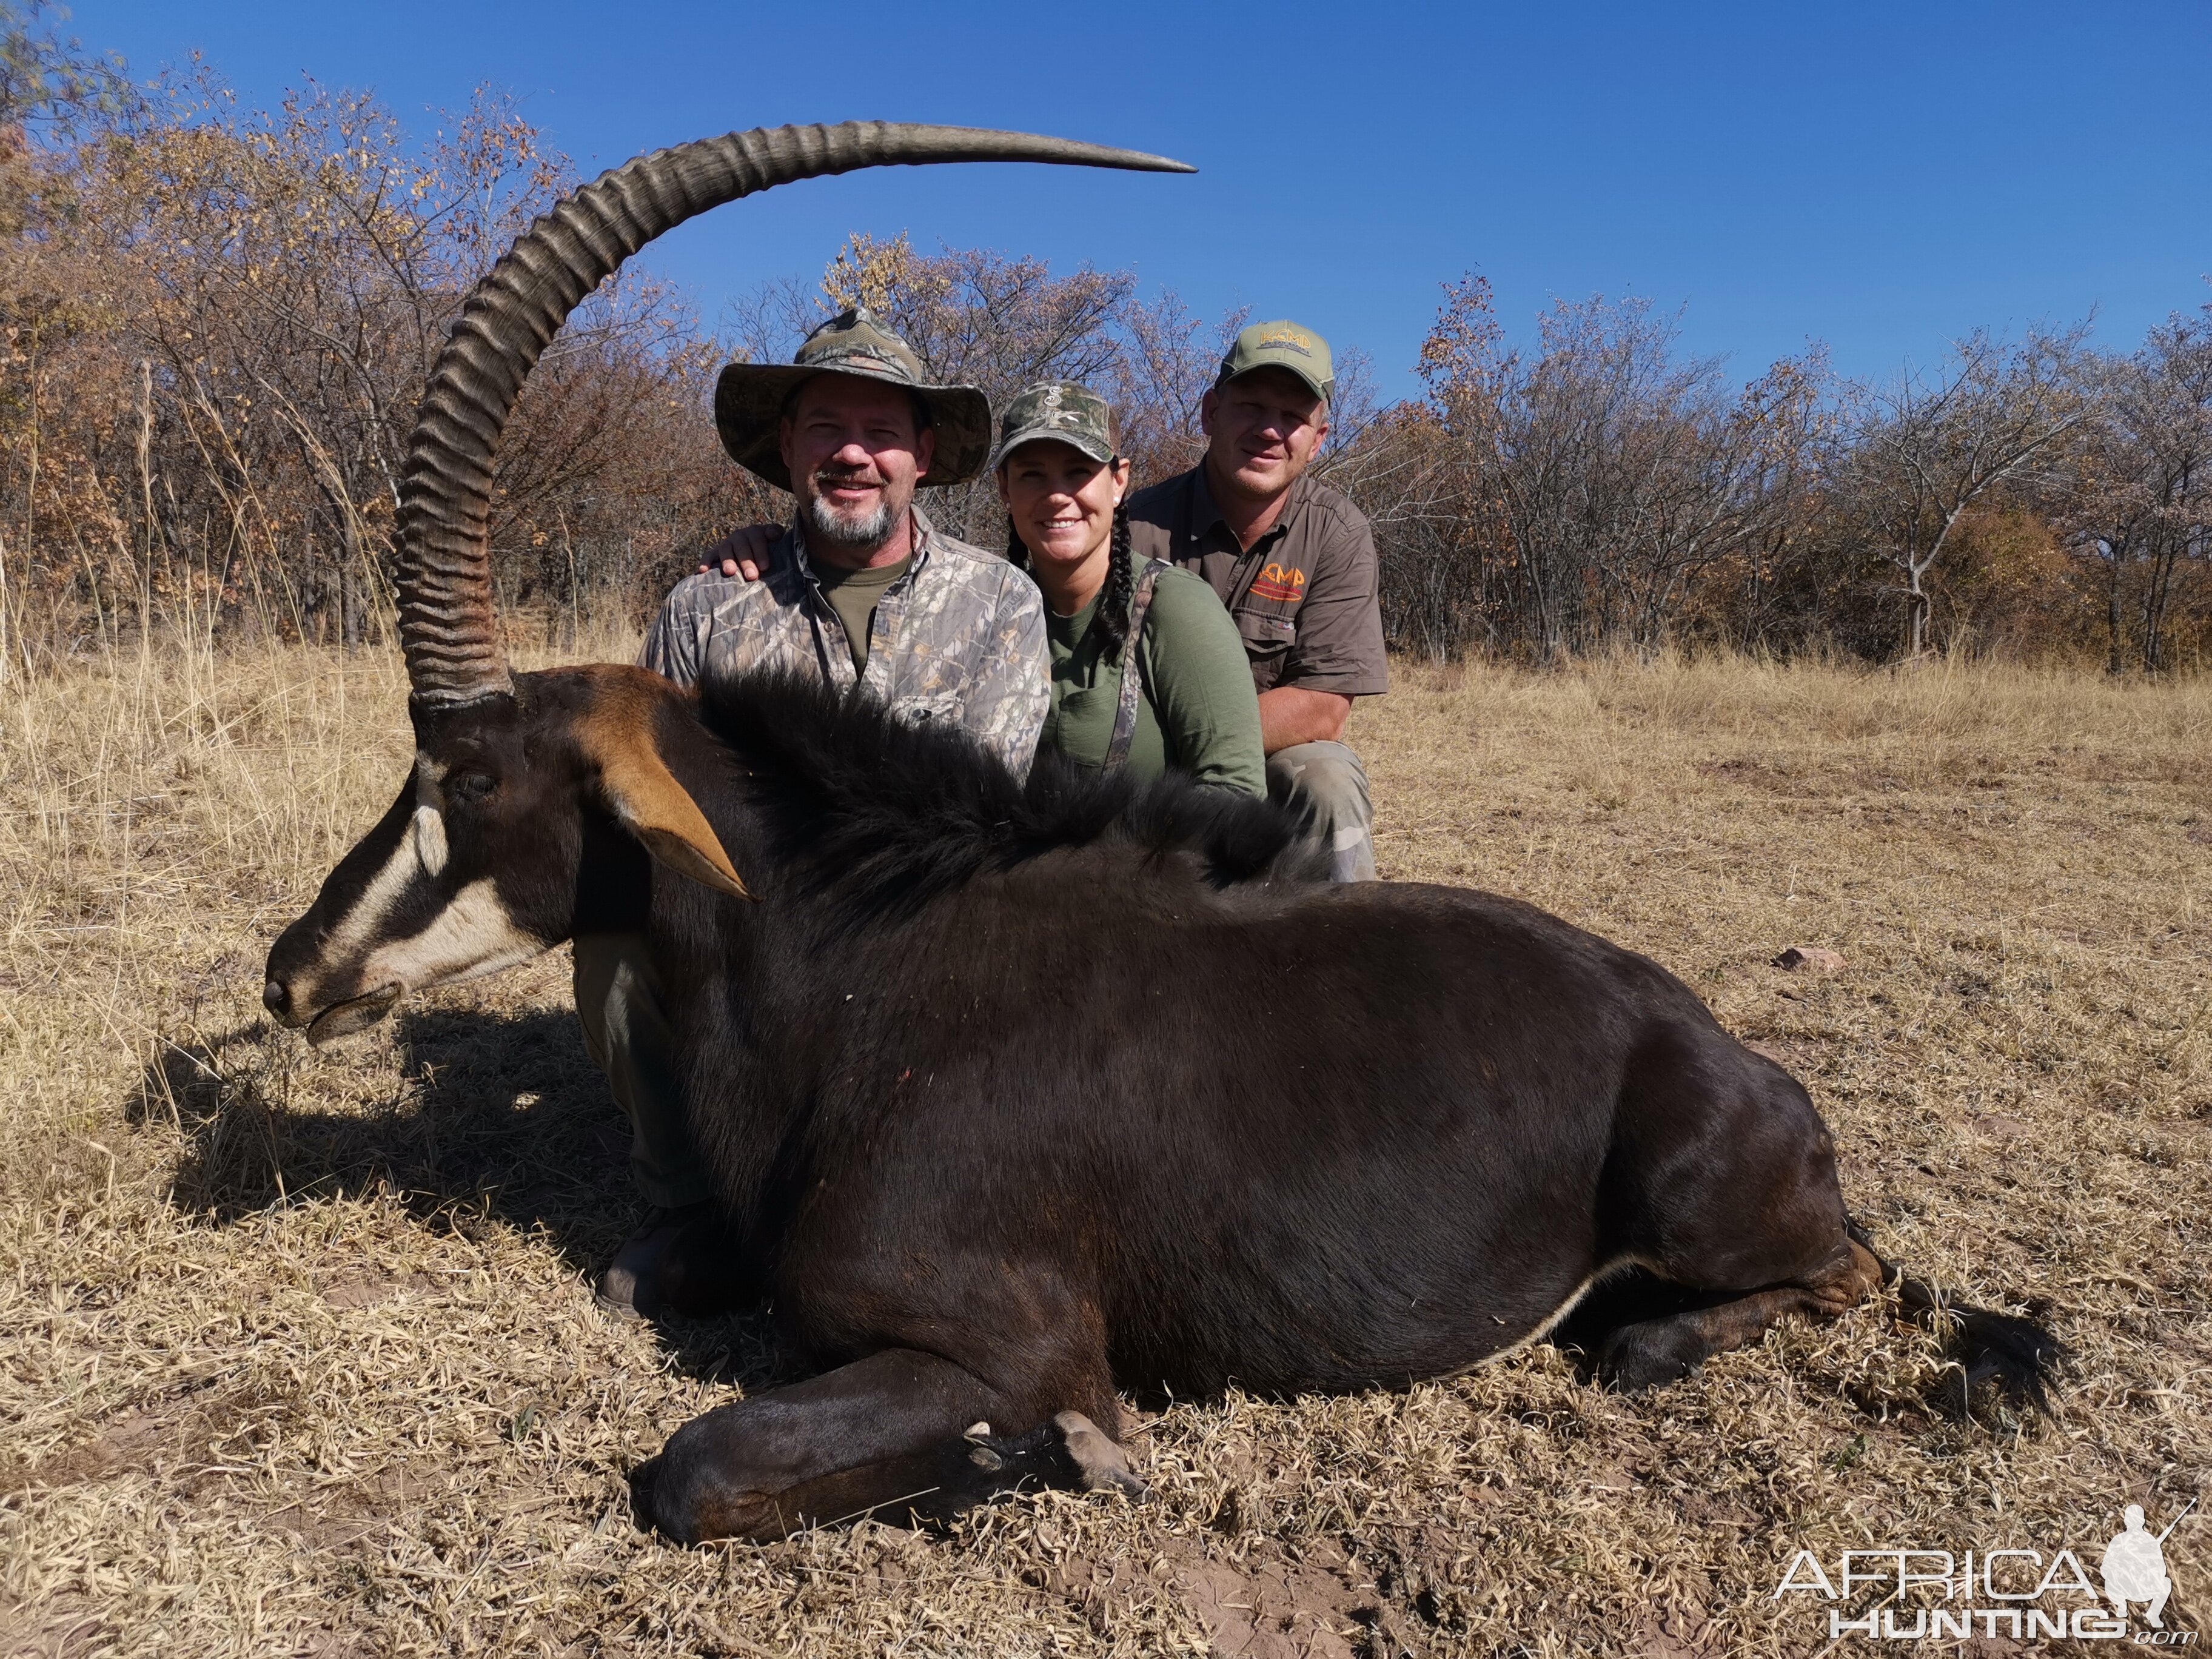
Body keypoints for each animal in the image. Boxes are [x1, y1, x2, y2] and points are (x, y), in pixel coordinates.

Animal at [263, 117, 2053, 1548]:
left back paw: (1641, 1334)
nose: (291, 972)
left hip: (1707, 1205)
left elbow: (697, 1467)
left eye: (470, 778)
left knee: (1826, 1282)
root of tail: (1721, 1048)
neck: (851, 970)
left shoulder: (997, 1340)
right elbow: (638, 1282)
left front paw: (1062, 1461)